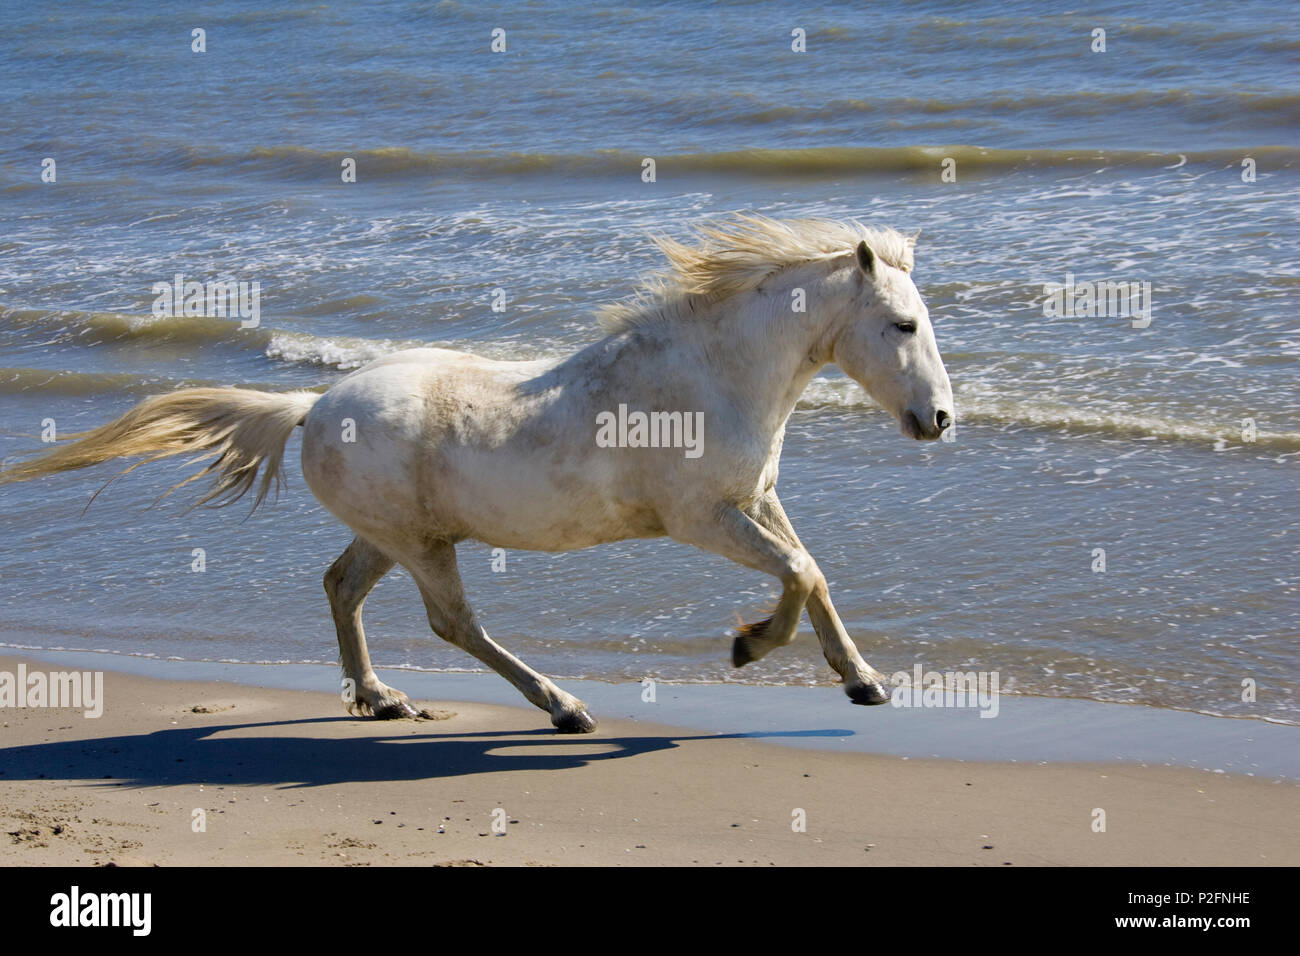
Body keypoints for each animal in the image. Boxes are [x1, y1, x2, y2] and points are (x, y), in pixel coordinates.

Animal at [0, 217, 956, 738]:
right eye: (904, 325)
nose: (940, 419)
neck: (707, 376)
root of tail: (312, 406)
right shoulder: (702, 518)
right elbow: (800, 573)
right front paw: (749, 645)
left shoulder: (757, 500)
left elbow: (815, 574)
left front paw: (863, 680)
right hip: (422, 543)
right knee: (453, 622)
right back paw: (563, 707)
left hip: (393, 535)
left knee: (342, 587)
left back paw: (382, 699)